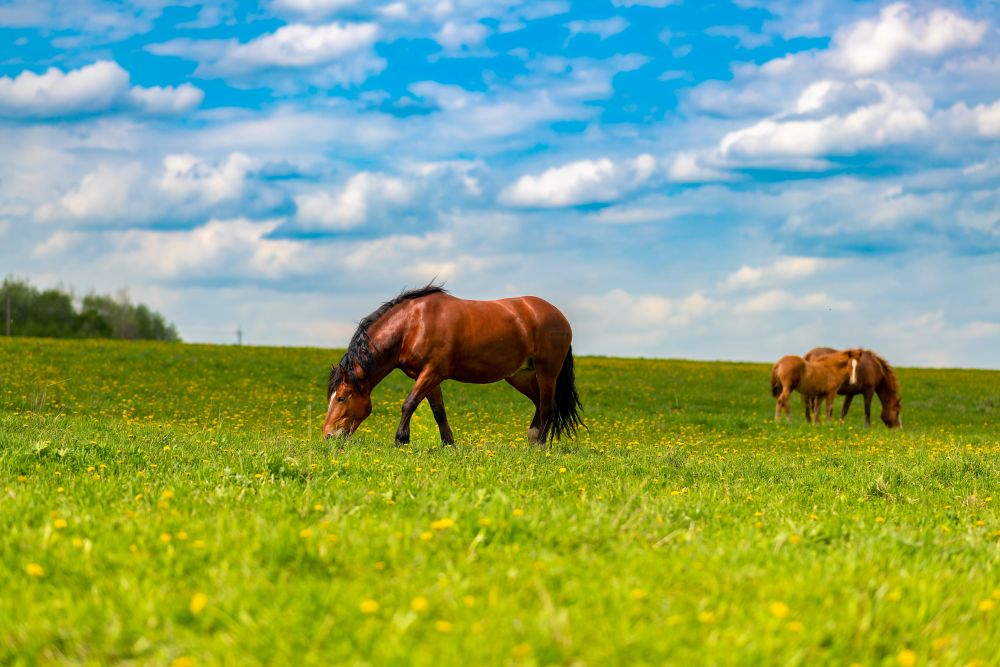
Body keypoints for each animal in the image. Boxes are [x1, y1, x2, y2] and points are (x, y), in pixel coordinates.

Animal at [323, 285, 583, 446]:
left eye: (341, 398)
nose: (328, 436)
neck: (412, 325)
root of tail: (559, 315)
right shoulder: (427, 376)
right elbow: (438, 411)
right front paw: (449, 444)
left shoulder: (432, 372)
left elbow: (409, 404)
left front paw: (401, 440)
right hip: (521, 375)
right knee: (540, 404)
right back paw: (532, 440)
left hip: (547, 371)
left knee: (548, 407)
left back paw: (540, 445)